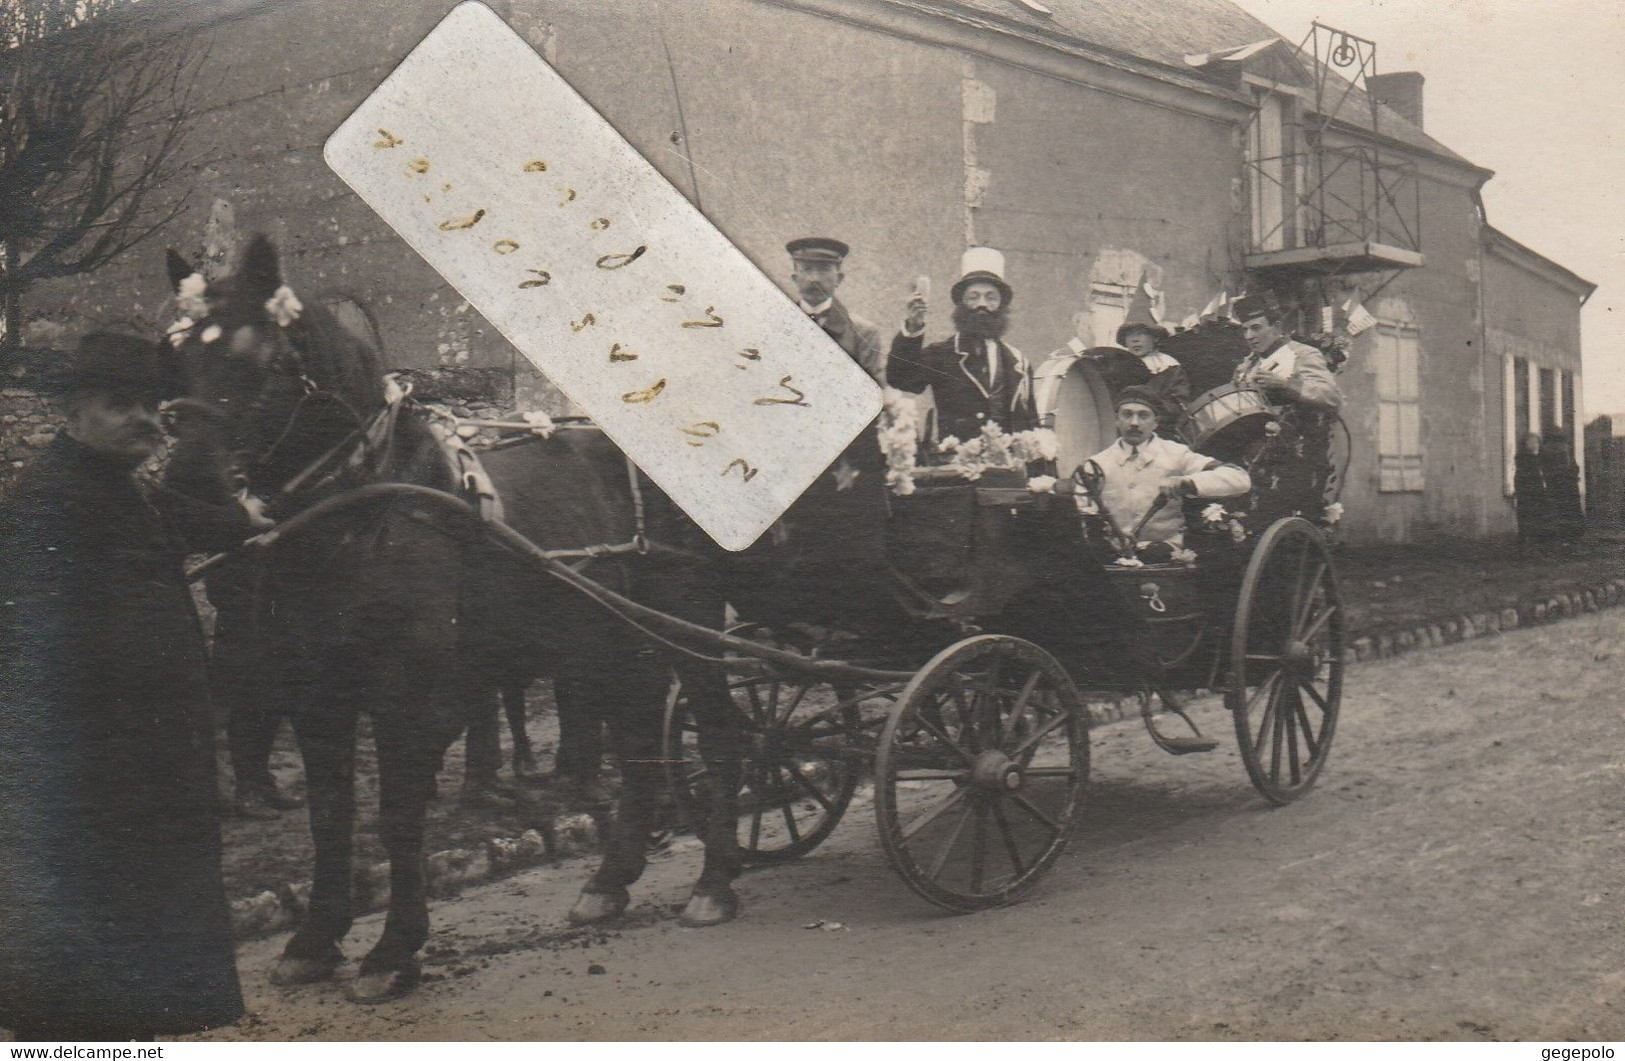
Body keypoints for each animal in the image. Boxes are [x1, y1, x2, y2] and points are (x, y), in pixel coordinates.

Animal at [161, 233, 744, 1000]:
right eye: (173, 355)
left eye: (267, 359)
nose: (188, 494)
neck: (367, 513)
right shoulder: (319, 695)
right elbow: (329, 816)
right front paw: (315, 939)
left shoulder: (409, 695)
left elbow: (397, 816)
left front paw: (391, 950)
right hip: (609, 641)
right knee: (642, 741)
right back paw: (610, 880)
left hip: (683, 622)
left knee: (719, 731)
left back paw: (715, 882)